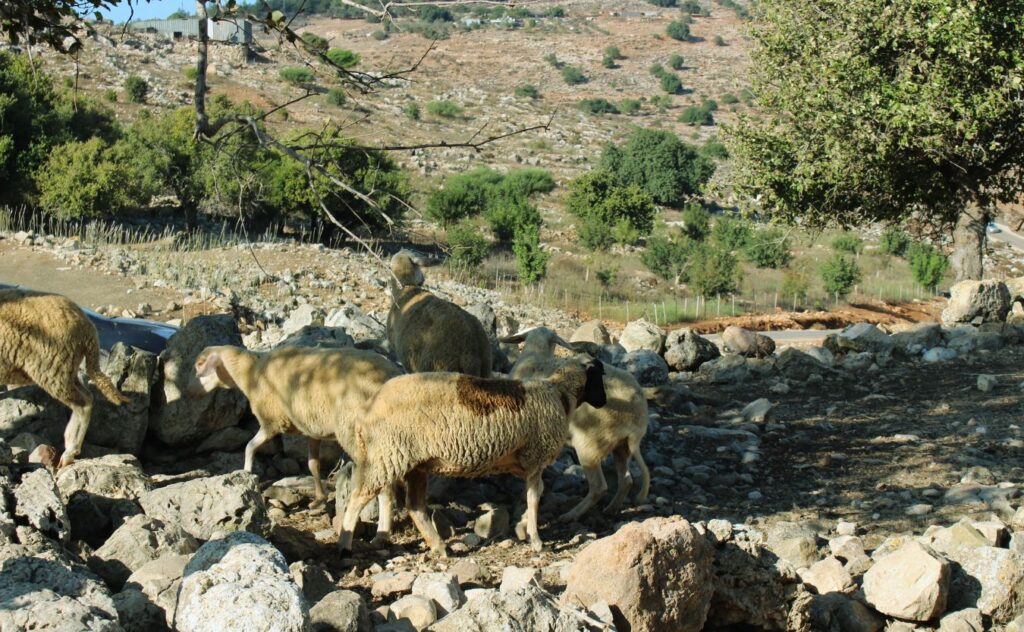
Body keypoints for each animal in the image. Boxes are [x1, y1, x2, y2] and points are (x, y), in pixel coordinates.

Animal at [0, 288, 130, 465]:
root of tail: (88, 328)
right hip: (68, 368)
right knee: (88, 397)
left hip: (52, 369)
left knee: (83, 404)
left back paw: (70, 450)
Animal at [193, 344, 401, 518]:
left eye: (200, 364)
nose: (192, 393)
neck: (251, 373)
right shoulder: (312, 430)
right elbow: (312, 464)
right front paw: (319, 498)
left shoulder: (272, 422)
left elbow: (249, 446)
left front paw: (246, 473)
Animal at [335, 356, 606, 553]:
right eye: (599, 378)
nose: (603, 402)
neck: (561, 395)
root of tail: (369, 408)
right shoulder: (536, 457)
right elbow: (534, 498)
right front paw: (537, 541)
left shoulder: (531, 462)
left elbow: (531, 497)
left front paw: (526, 530)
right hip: (386, 455)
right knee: (358, 497)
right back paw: (344, 545)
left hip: (413, 463)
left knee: (414, 506)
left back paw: (439, 547)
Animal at [499, 327, 651, 520]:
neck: (535, 355)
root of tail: (637, 418)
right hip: (620, 447)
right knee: (626, 480)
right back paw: (611, 509)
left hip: (590, 445)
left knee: (599, 487)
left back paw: (570, 515)